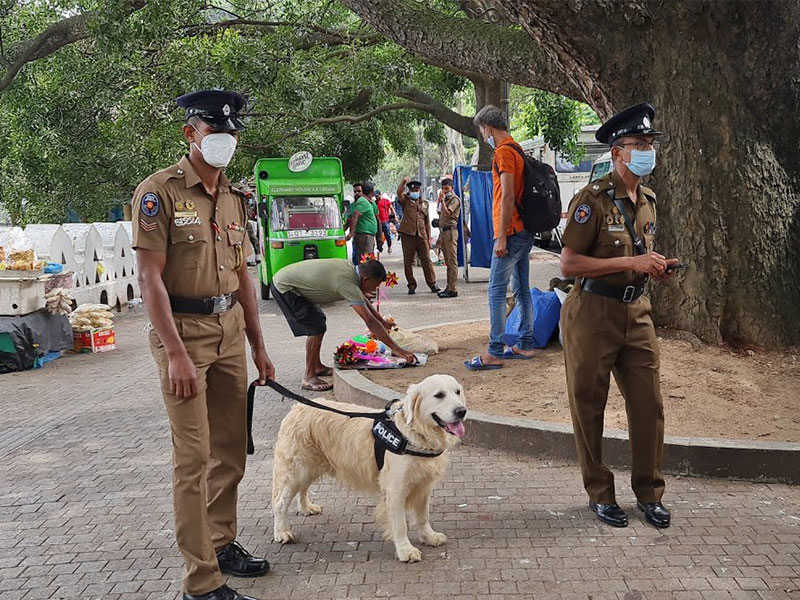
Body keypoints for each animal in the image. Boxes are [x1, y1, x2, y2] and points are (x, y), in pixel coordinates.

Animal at [272, 376, 466, 564]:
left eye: (457, 392)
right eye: (439, 395)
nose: (462, 411)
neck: (414, 435)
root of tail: (297, 407)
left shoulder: (424, 485)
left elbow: (423, 516)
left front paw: (429, 536)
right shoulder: (396, 489)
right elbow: (400, 524)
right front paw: (405, 550)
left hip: (310, 466)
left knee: (303, 489)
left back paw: (306, 507)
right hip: (297, 469)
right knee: (280, 503)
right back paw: (282, 532)